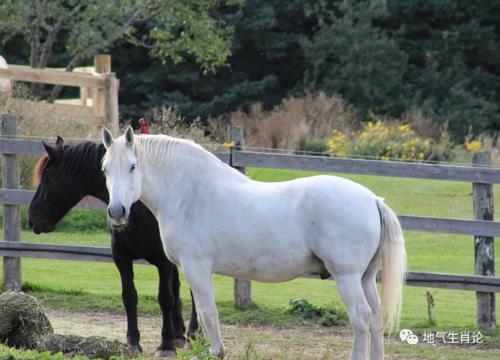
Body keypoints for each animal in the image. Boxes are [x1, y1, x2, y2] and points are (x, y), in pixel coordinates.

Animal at [27, 136, 197, 356]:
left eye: (47, 177)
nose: (32, 219)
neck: (138, 208)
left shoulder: (163, 261)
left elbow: (165, 298)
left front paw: (165, 345)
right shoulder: (121, 257)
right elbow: (129, 297)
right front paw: (133, 341)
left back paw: (193, 334)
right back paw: (179, 334)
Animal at [101, 125, 406, 358]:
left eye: (132, 166)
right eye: (105, 169)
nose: (117, 212)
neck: (189, 191)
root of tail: (372, 199)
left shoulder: (196, 267)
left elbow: (207, 312)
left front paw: (216, 352)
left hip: (347, 277)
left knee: (361, 318)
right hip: (365, 278)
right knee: (376, 317)